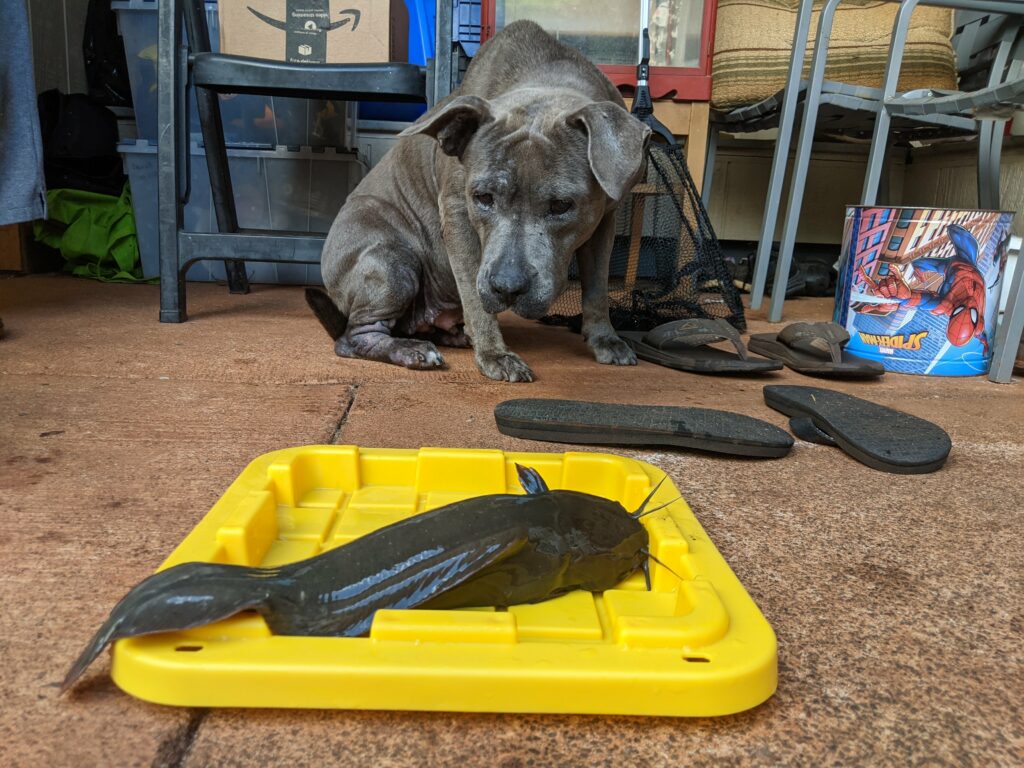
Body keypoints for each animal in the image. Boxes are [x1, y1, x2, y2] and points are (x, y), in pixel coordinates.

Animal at [307, 22, 651, 382]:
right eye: (483, 198)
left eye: (561, 205)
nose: (507, 287)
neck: (548, 78)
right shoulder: (457, 213)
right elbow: (473, 293)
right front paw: (495, 353)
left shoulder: (604, 220)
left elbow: (597, 286)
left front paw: (604, 339)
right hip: (392, 261)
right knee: (355, 336)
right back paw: (413, 350)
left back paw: (452, 335)